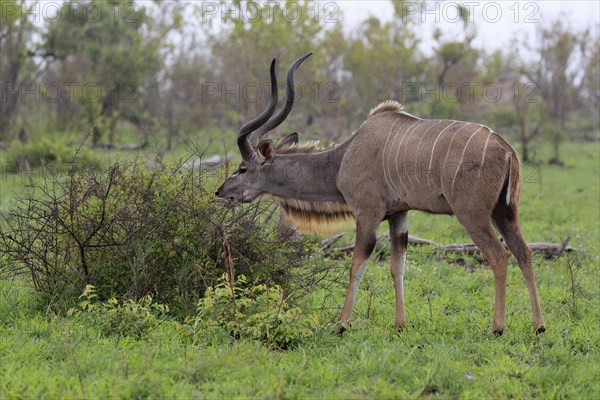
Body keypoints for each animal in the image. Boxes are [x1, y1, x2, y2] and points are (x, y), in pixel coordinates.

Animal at [216, 53, 544, 334]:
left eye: (243, 168)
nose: (221, 192)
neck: (343, 158)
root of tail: (507, 149)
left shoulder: (368, 212)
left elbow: (357, 264)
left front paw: (342, 324)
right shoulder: (399, 215)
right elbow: (397, 267)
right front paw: (400, 324)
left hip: (473, 214)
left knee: (499, 255)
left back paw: (497, 327)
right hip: (504, 212)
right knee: (524, 252)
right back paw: (539, 325)